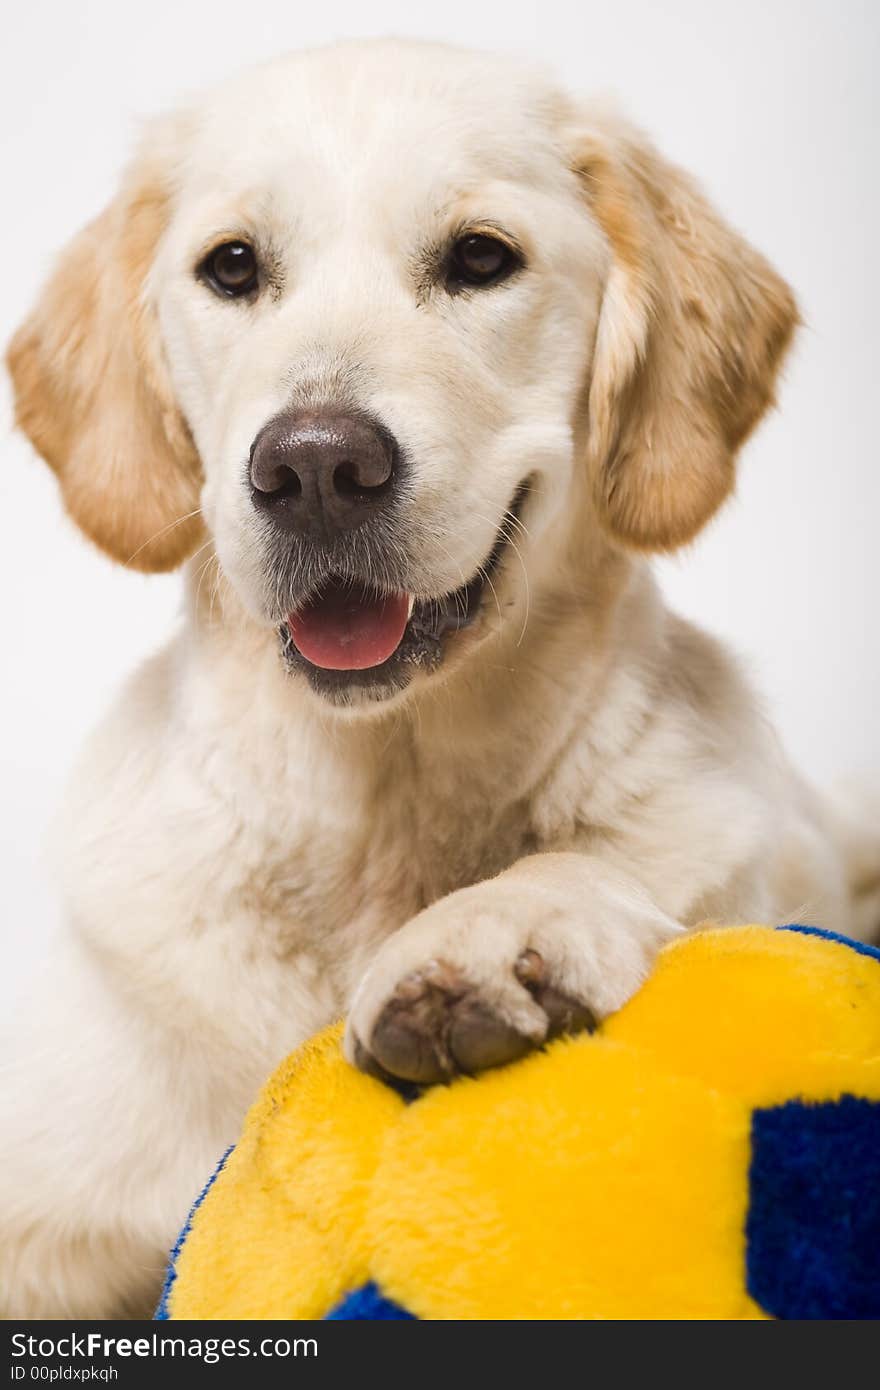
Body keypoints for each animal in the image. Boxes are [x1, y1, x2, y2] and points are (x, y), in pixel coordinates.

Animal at [3, 35, 873, 1312]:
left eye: (479, 258)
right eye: (231, 266)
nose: (316, 468)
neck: (385, 809)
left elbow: (607, 862)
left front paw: (488, 936)